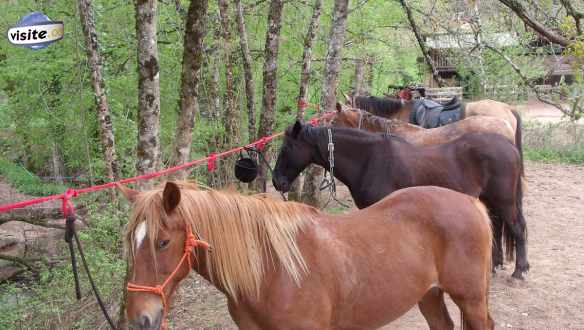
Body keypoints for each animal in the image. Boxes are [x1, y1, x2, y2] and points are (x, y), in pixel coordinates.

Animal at [122, 182, 492, 328]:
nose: (141, 317)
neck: (271, 271)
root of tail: (470, 202)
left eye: (162, 242)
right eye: (130, 241)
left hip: (470, 299)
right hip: (429, 295)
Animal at [274, 121, 528, 278]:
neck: (370, 159)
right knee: (497, 226)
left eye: (286, 148)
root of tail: (509, 146)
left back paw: (519, 271)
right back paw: (495, 266)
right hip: (491, 200)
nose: (277, 181)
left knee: (516, 228)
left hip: (504, 201)